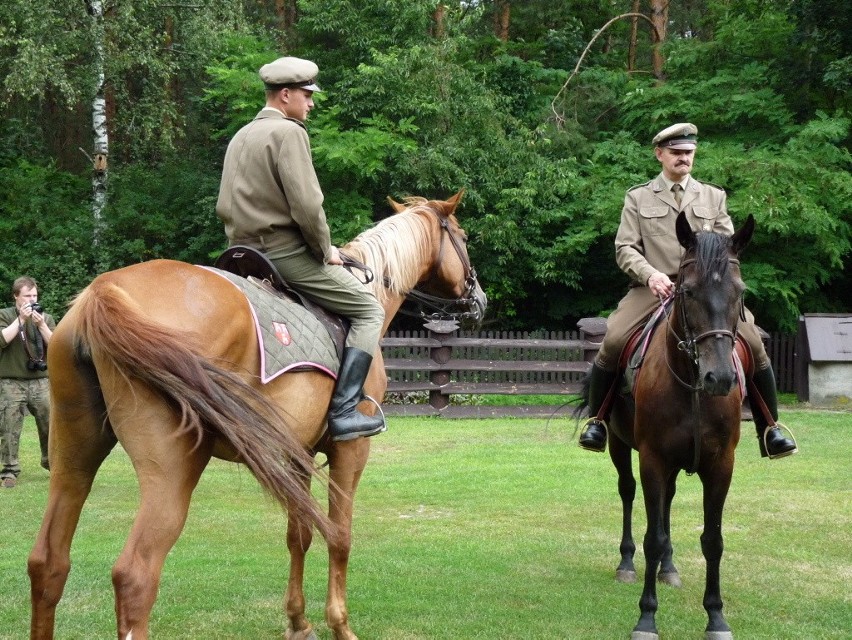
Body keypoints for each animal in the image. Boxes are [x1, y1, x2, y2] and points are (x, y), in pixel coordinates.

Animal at [28, 191, 486, 640]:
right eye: (463, 237)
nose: (478, 299)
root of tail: (104, 290)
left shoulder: (298, 453)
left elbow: (299, 534)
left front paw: (299, 622)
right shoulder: (351, 451)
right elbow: (340, 536)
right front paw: (340, 624)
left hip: (73, 459)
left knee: (48, 563)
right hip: (171, 472)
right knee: (135, 577)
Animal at [592, 214, 752, 640]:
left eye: (740, 292)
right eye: (689, 291)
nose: (720, 378)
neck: (692, 386)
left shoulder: (721, 465)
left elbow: (713, 540)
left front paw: (716, 617)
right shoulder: (652, 460)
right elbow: (652, 537)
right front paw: (646, 617)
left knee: (667, 504)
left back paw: (669, 567)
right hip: (620, 446)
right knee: (628, 493)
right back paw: (627, 564)